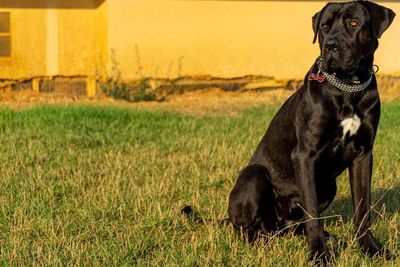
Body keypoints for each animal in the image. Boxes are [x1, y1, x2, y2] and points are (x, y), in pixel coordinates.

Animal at [227, 0, 396, 264]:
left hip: (328, 185)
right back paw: (261, 244)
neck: (347, 87)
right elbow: (313, 213)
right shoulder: (305, 155)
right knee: (249, 230)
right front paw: (320, 255)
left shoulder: (363, 154)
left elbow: (363, 209)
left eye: (354, 23)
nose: (331, 46)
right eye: (325, 26)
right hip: (254, 175)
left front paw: (372, 249)